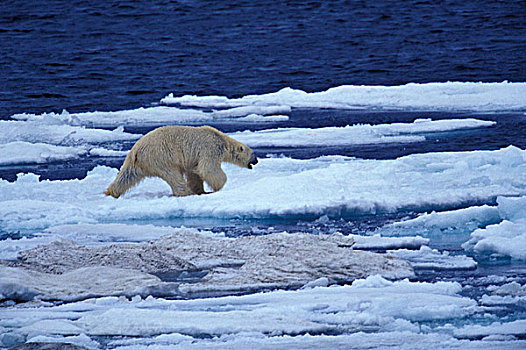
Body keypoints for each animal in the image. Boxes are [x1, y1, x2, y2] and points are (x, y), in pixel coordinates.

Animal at [104, 125, 258, 197]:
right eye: (253, 153)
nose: (257, 161)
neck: (221, 140)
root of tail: (136, 150)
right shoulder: (210, 148)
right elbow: (208, 168)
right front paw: (217, 187)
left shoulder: (194, 158)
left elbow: (195, 172)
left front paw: (201, 190)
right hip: (162, 156)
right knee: (173, 174)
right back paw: (186, 192)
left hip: (138, 162)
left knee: (126, 176)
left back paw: (111, 192)